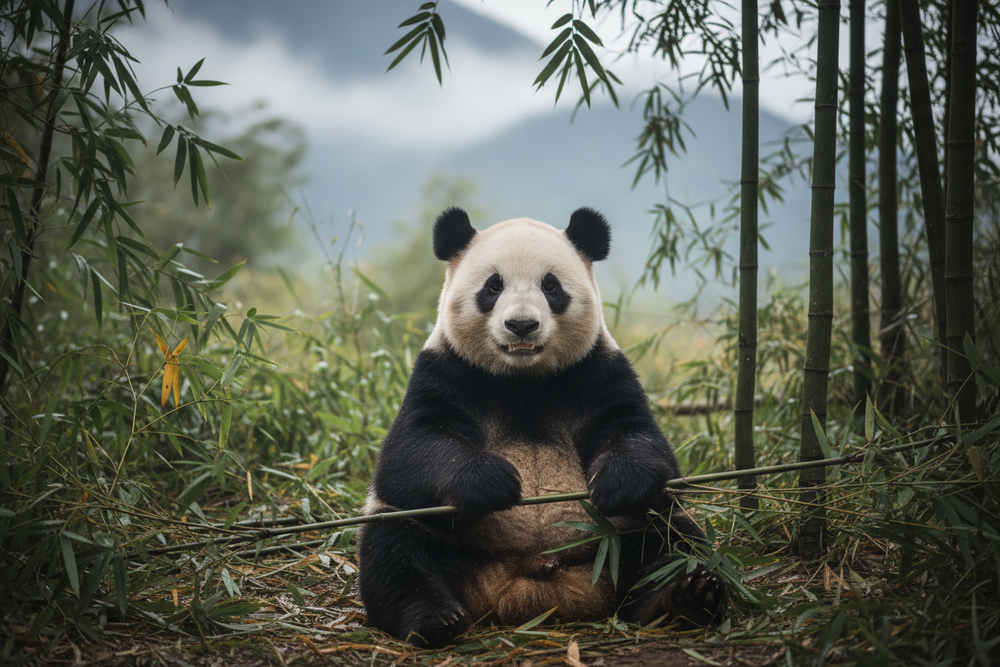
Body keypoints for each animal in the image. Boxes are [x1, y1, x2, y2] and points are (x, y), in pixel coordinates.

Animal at [358, 207, 726, 647]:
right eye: (493, 286)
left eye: (550, 286)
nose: (521, 325)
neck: (524, 379)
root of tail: (528, 589)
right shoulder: (446, 371)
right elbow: (411, 451)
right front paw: (492, 480)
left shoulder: (598, 371)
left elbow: (639, 435)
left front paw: (617, 480)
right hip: (441, 537)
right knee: (397, 553)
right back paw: (436, 618)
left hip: (622, 536)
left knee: (673, 541)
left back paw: (687, 596)